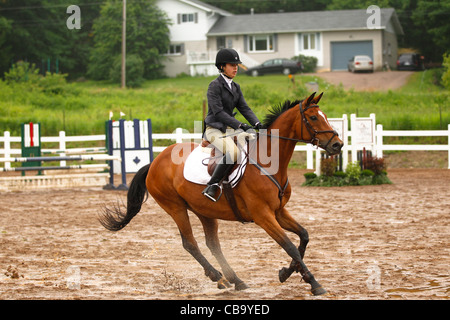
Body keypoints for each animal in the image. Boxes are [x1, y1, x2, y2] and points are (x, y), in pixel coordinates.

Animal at [99, 92, 342, 296]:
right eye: (313, 118)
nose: (337, 145)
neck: (269, 164)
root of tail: (155, 161)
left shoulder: (278, 211)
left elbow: (303, 237)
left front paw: (288, 272)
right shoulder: (263, 216)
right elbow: (289, 246)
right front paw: (313, 282)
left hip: (204, 209)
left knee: (212, 243)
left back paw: (235, 280)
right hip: (175, 208)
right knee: (190, 243)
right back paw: (220, 278)